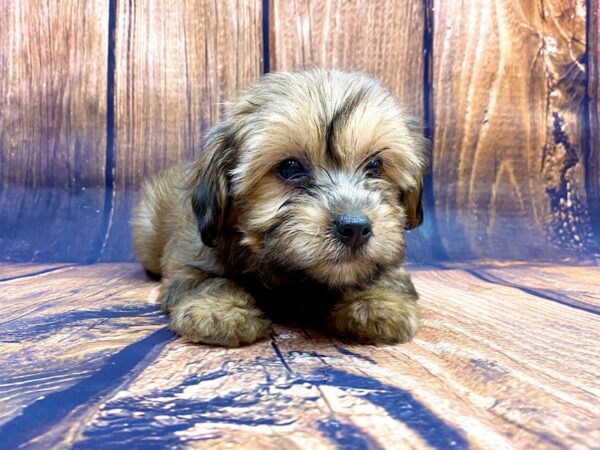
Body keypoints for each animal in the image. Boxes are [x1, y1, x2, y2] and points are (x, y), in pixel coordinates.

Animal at [132, 69, 426, 348]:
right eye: (290, 168)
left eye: (375, 166)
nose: (354, 228)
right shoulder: (191, 257)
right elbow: (203, 279)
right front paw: (219, 311)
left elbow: (385, 272)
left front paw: (377, 302)